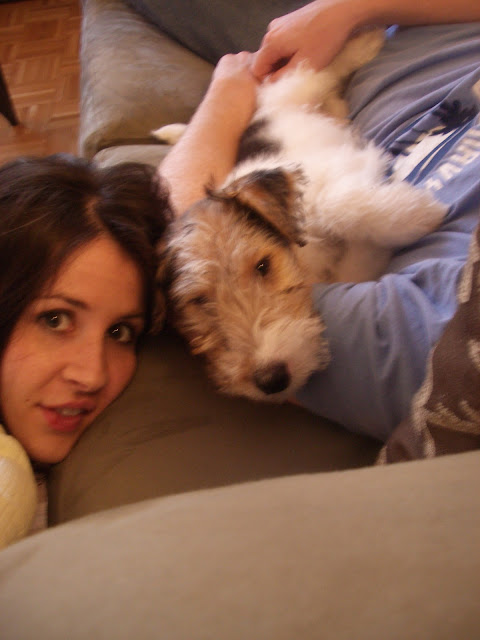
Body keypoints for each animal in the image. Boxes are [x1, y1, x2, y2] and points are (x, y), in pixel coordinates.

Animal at [154, 29, 447, 403]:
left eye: (263, 266)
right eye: (199, 301)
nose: (272, 380)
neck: (306, 259)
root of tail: (262, 113)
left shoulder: (324, 180)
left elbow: (341, 204)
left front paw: (421, 213)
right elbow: (356, 266)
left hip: (291, 88)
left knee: (321, 70)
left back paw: (366, 42)